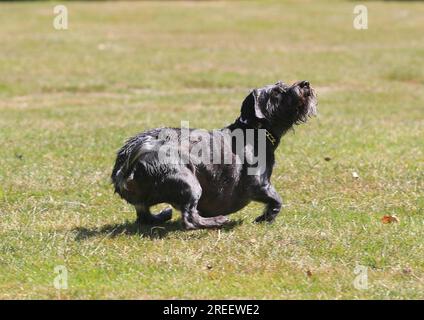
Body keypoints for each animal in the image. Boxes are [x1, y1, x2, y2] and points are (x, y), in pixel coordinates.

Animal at [111, 81, 316, 229]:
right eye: (277, 91)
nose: (304, 83)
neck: (253, 130)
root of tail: (129, 158)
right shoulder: (258, 184)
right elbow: (277, 200)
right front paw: (264, 218)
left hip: (145, 199)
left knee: (144, 216)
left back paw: (163, 215)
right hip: (189, 182)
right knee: (189, 219)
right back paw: (217, 221)